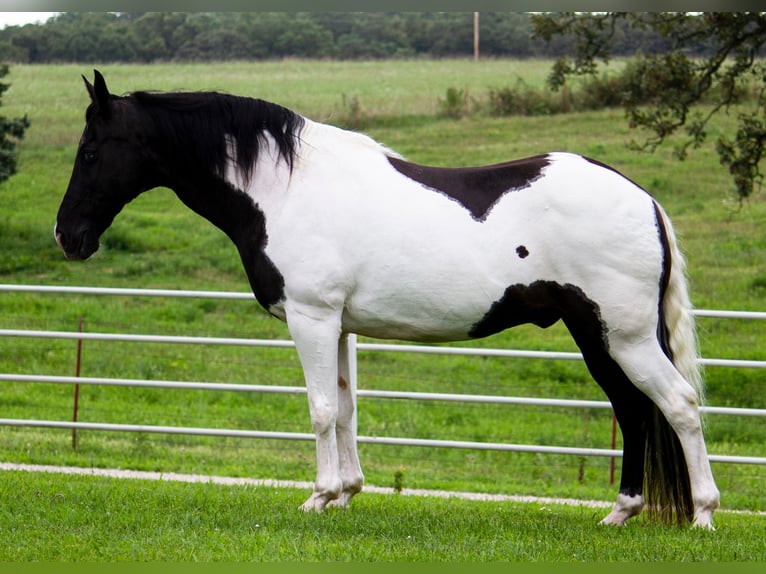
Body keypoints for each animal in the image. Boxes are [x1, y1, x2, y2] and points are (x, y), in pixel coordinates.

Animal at [57, 70, 724, 528]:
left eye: (90, 151)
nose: (68, 236)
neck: (285, 187)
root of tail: (643, 197)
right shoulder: (340, 325)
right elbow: (346, 410)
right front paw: (347, 494)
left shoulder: (311, 319)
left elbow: (320, 409)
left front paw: (319, 497)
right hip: (595, 334)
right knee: (635, 410)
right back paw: (621, 511)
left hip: (625, 335)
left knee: (680, 405)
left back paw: (703, 514)